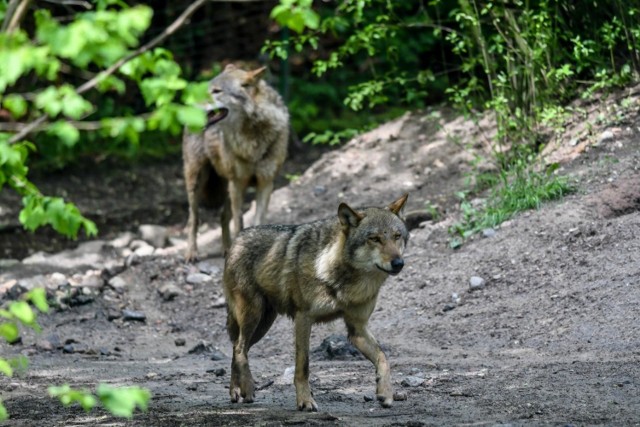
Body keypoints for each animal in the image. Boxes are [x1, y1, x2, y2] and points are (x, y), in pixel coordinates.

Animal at [181, 63, 288, 260]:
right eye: (207, 89)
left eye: (216, 91)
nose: (188, 106)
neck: (252, 135)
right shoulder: (238, 183)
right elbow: (239, 222)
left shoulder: (265, 183)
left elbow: (258, 220)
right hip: (197, 181)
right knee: (194, 219)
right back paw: (192, 253)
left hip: (226, 186)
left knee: (223, 217)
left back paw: (226, 249)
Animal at [222, 194, 408, 412]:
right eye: (375, 239)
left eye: (397, 236)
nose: (398, 263)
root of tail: (236, 240)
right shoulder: (303, 318)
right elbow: (303, 366)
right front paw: (305, 401)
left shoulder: (357, 329)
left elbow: (383, 357)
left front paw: (385, 393)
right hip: (253, 316)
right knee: (239, 348)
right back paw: (248, 388)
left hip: (262, 325)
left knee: (237, 348)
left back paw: (236, 391)